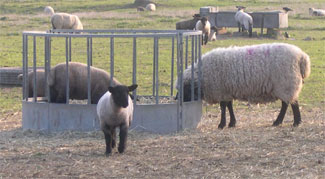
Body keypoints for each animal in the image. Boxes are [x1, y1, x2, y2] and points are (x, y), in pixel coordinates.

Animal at [178, 42, 310, 129]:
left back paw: (293, 122)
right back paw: (285, 121)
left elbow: (223, 107)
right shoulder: (227, 91)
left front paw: (222, 124)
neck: (202, 76)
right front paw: (232, 123)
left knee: (290, 104)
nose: (178, 101)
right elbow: (229, 106)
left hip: (286, 83)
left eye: (185, 90)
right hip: (286, 85)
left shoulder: (222, 90)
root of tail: (302, 57)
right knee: (288, 103)